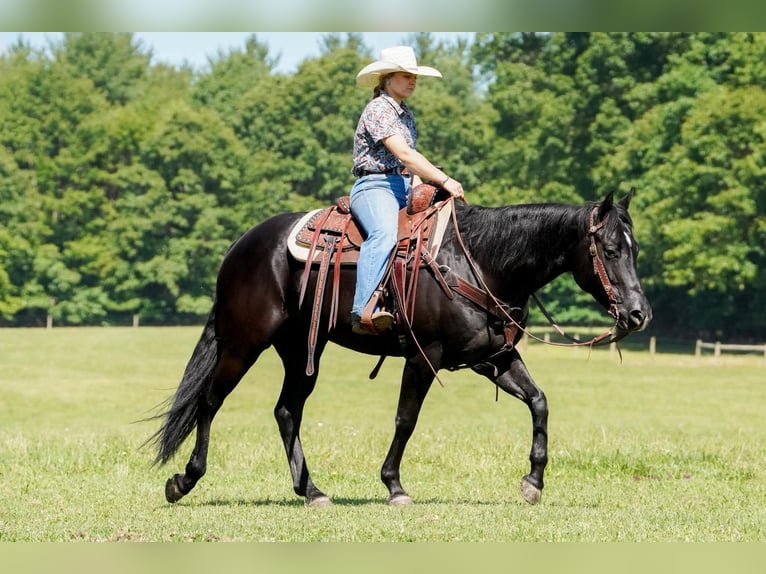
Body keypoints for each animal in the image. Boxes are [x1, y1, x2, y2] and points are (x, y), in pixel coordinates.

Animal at [149, 189, 651, 507]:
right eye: (609, 250)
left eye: (635, 250)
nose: (638, 314)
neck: (479, 261)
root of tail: (241, 245)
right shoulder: (424, 356)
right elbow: (405, 420)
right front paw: (394, 486)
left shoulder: (493, 358)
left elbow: (539, 402)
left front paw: (533, 481)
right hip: (243, 343)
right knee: (210, 401)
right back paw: (185, 480)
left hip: (301, 350)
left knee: (287, 410)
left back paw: (312, 492)